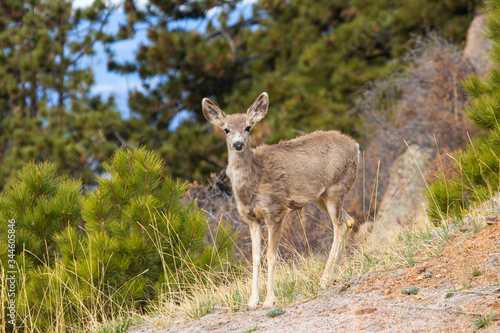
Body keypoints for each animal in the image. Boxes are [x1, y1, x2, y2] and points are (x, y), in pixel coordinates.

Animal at [202, 92, 360, 308]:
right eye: (226, 129)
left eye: (248, 127)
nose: (238, 144)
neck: (254, 181)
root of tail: (356, 146)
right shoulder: (251, 218)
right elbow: (255, 257)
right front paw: (252, 301)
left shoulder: (275, 209)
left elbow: (271, 255)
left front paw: (270, 300)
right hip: (321, 196)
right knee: (349, 221)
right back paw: (334, 275)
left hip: (336, 187)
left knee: (339, 226)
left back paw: (324, 279)